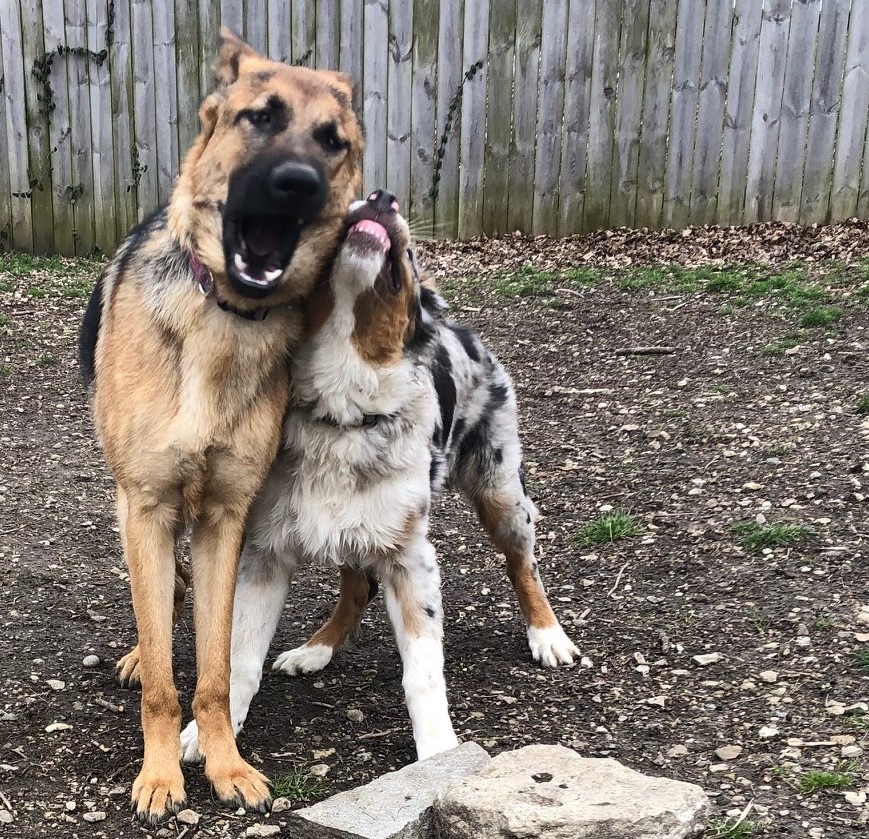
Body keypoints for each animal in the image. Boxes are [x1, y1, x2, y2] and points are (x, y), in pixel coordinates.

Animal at [79, 27, 362, 828]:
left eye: (333, 140)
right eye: (259, 117)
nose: (297, 182)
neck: (224, 319)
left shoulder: (223, 519)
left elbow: (212, 668)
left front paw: (224, 763)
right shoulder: (145, 504)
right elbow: (163, 675)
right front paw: (160, 775)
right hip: (130, 503)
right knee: (154, 600)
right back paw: (138, 651)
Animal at [177, 194, 580, 764]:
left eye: (408, 257)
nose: (381, 196)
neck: (342, 408)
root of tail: (464, 331)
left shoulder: (411, 558)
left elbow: (424, 672)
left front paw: (438, 753)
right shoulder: (266, 552)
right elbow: (240, 656)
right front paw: (211, 733)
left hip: (499, 489)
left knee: (524, 565)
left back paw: (548, 636)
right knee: (357, 585)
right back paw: (315, 649)